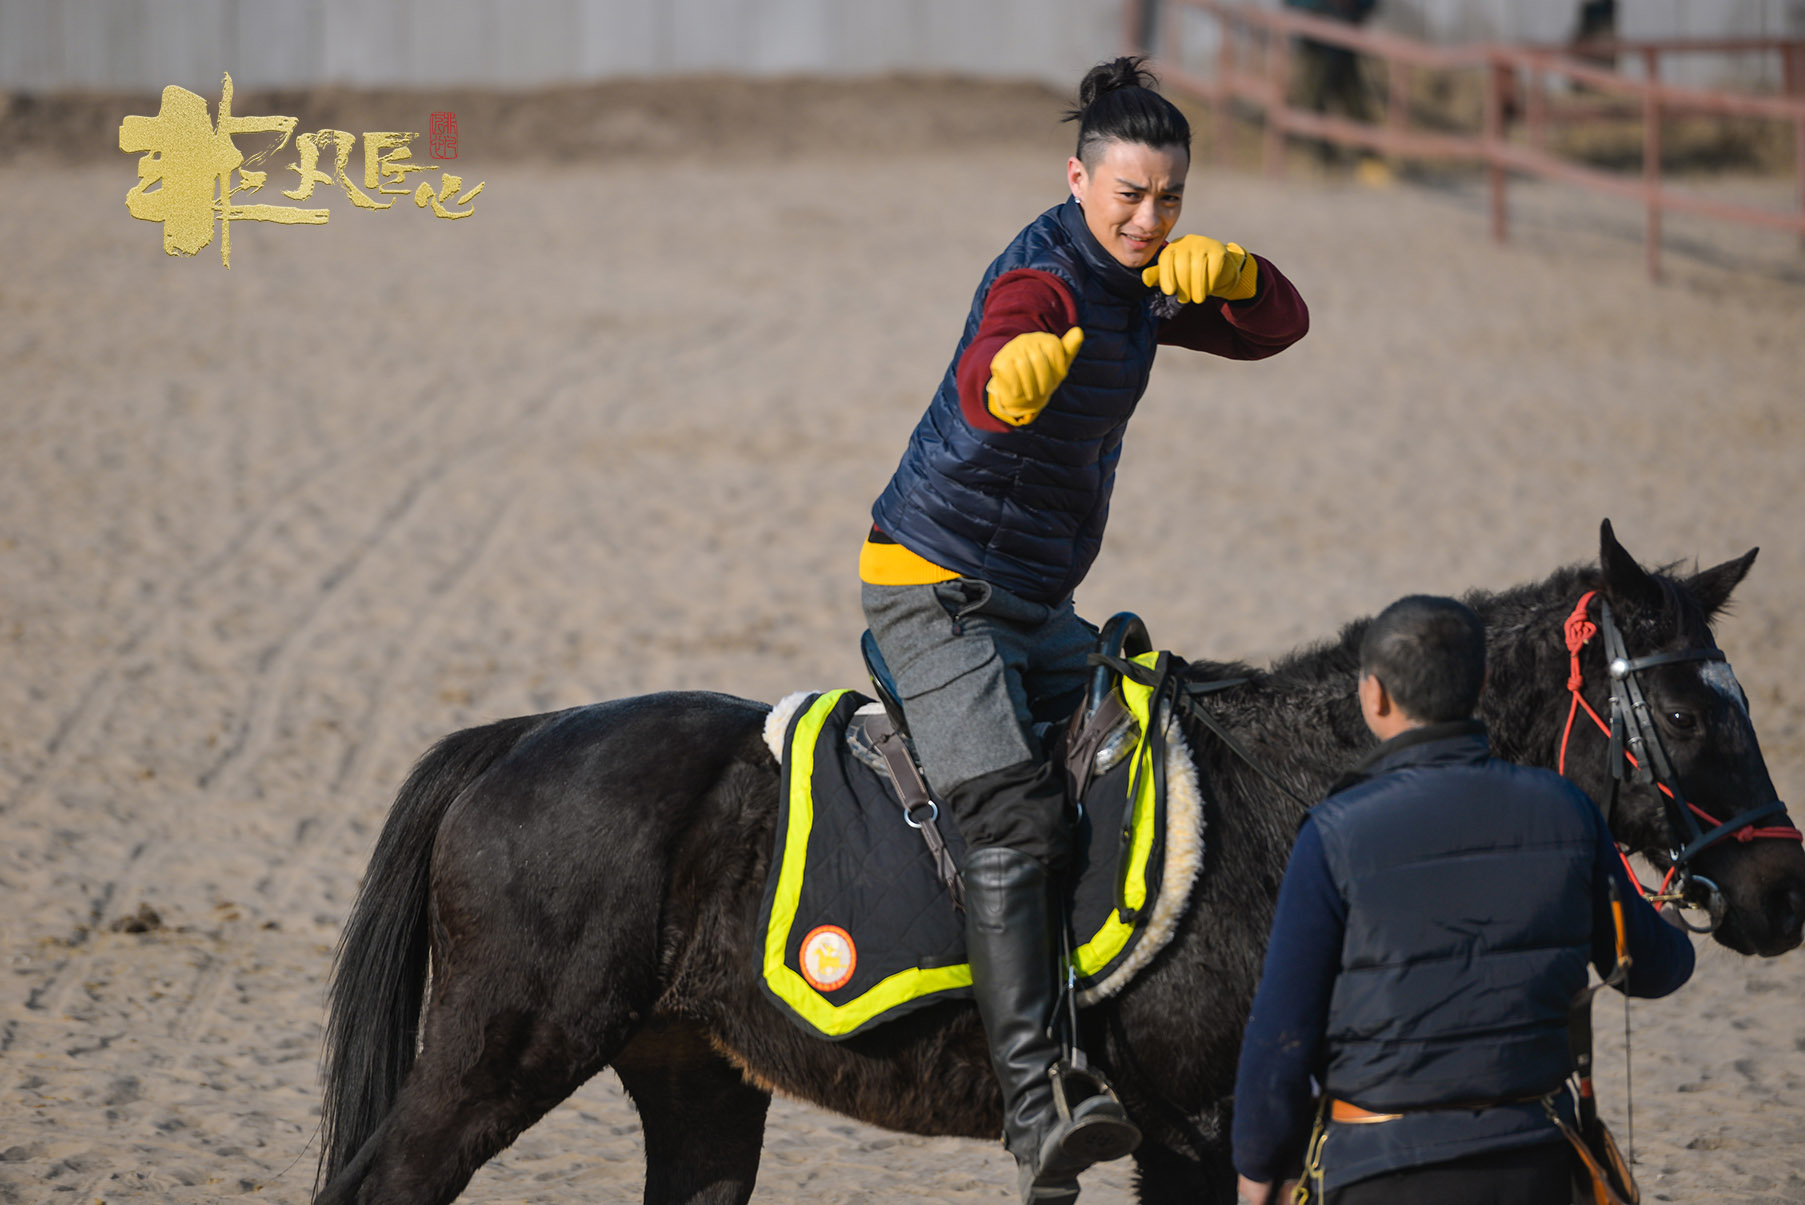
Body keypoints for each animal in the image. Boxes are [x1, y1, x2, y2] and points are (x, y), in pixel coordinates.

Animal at [310, 523, 1805, 1205]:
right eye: (1688, 714)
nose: (1781, 891)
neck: (1298, 800)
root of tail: (516, 741)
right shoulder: (1196, 1135)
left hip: (694, 1081)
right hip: (497, 1059)